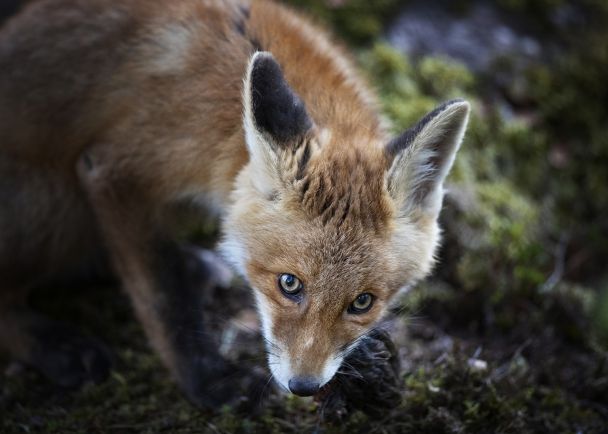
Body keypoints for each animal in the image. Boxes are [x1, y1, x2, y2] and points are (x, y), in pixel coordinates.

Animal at [0, 0, 470, 406]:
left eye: (363, 303)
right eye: (289, 283)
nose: (303, 386)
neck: (222, 119)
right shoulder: (115, 172)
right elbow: (165, 300)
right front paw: (208, 379)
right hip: (55, 204)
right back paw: (53, 343)